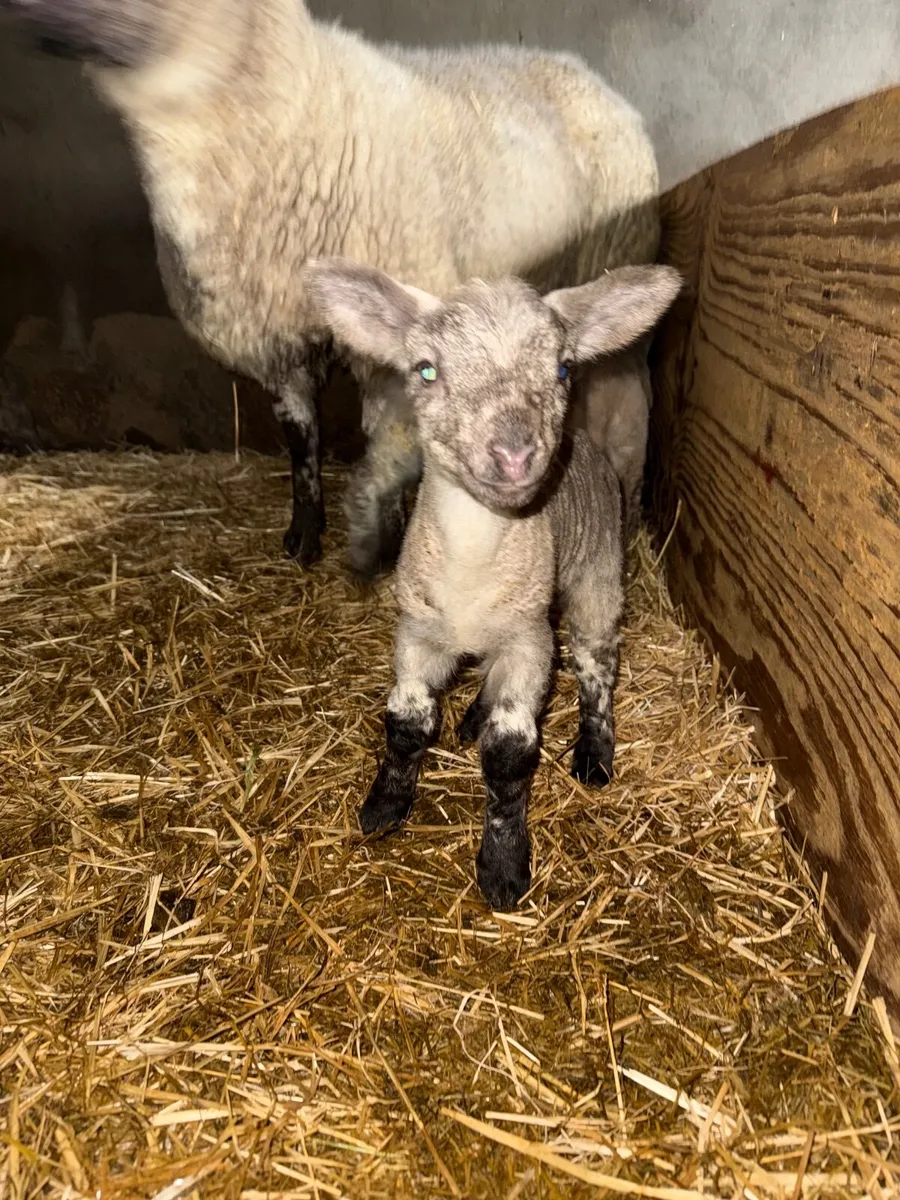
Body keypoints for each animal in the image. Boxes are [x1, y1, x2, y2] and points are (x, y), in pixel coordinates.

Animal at [4, 0, 661, 576]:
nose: (23, 12)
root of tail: (585, 72)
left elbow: (389, 449)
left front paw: (381, 539)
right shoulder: (279, 339)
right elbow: (302, 439)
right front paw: (304, 535)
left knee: (627, 400)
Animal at [304, 256, 681, 909]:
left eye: (562, 369)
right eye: (426, 370)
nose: (513, 454)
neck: (473, 560)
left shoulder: (526, 640)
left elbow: (509, 758)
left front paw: (503, 867)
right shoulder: (418, 634)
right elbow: (405, 724)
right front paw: (384, 806)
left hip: (597, 575)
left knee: (596, 667)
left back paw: (594, 754)